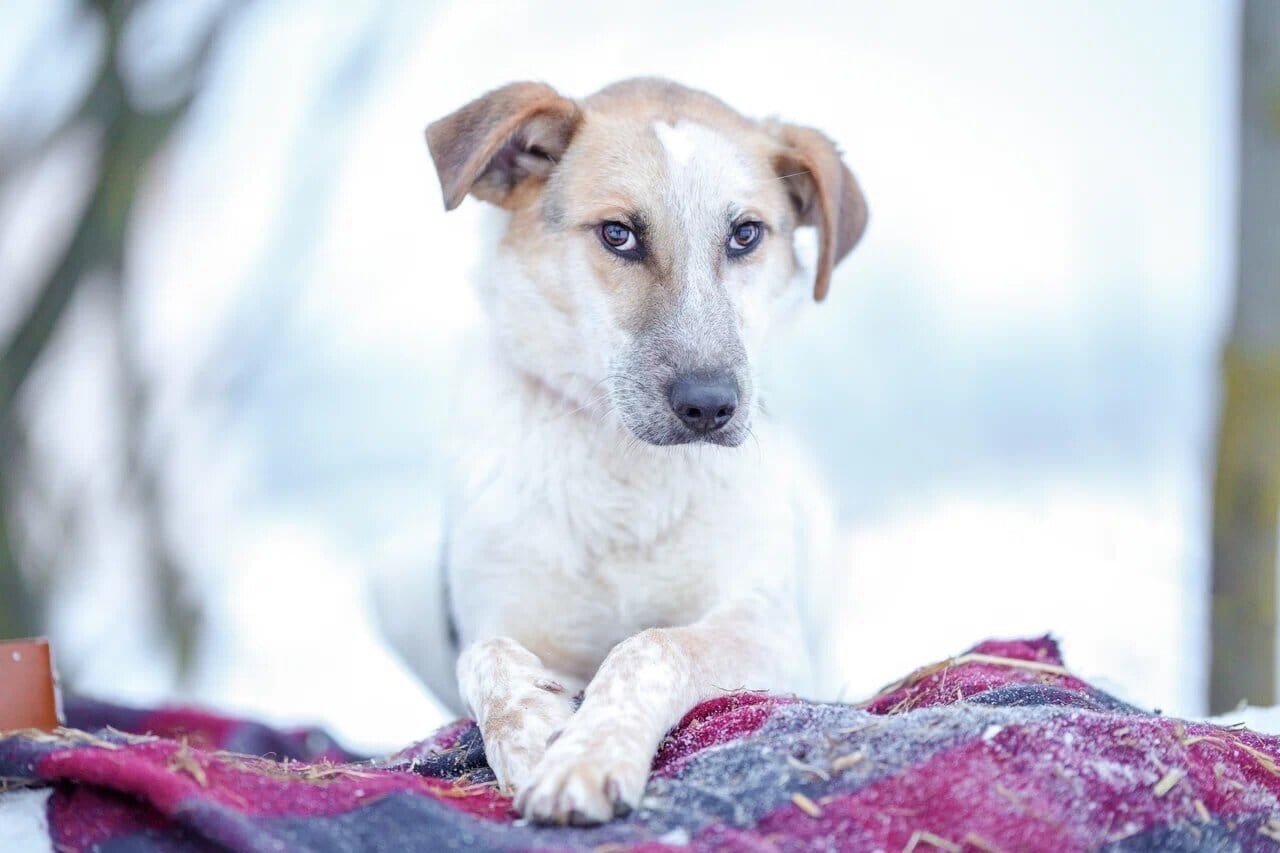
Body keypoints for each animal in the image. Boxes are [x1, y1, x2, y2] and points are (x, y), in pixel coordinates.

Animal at [394, 77, 866, 825]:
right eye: (618, 233)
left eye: (745, 234)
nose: (709, 405)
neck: (627, 467)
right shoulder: (504, 614)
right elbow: (488, 657)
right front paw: (534, 728)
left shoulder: (769, 630)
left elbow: (652, 644)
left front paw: (588, 752)